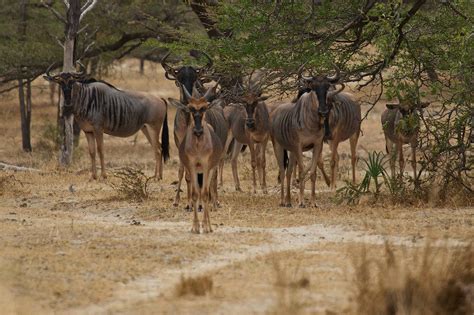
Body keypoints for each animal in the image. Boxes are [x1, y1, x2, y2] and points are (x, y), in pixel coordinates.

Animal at [168, 86, 224, 235]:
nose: (198, 131)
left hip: (210, 170)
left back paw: (209, 223)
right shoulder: (192, 167)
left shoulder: (206, 167)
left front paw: (206, 226)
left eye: (204, 108)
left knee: (208, 190)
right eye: (191, 108)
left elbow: (204, 194)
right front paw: (195, 227)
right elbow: (194, 194)